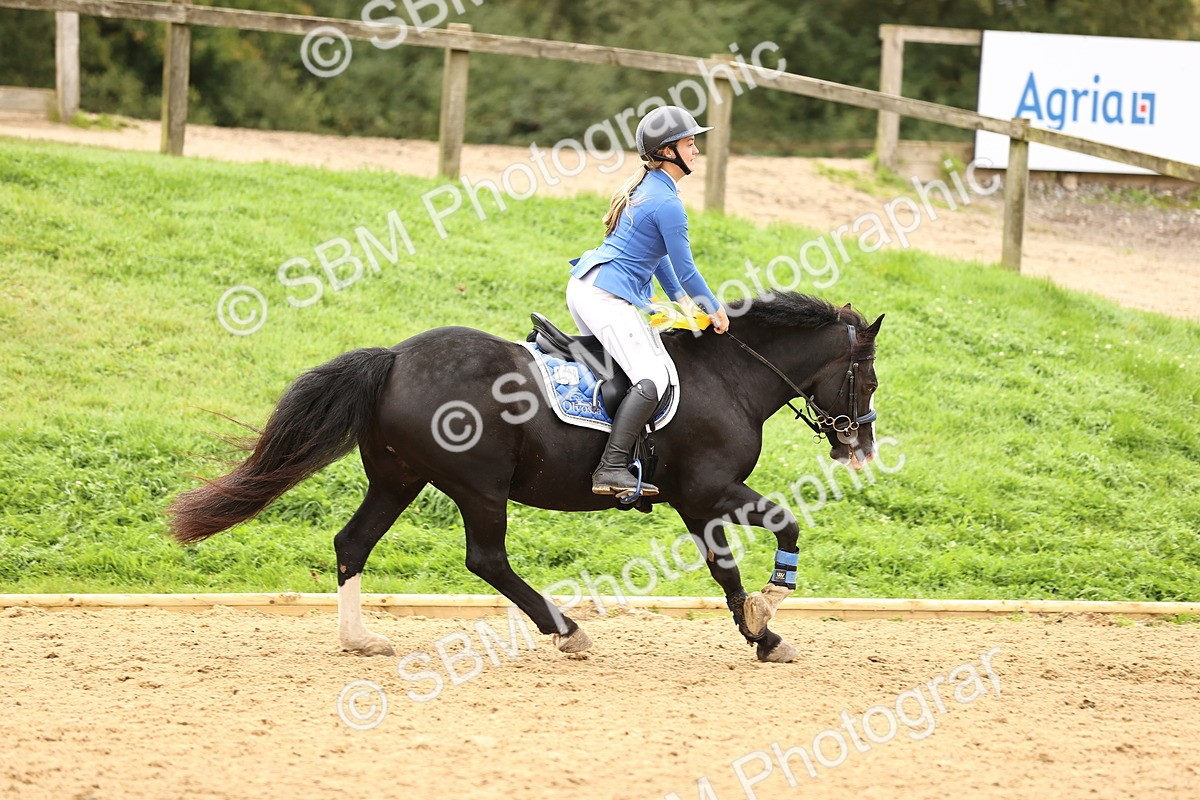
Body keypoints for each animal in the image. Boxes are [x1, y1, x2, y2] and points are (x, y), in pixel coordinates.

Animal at [168, 292, 883, 663]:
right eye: (869, 378)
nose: (863, 448)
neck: (728, 377)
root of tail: (395, 357)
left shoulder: (696, 501)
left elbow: (724, 570)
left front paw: (760, 633)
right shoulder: (709, 490)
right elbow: (785, 526)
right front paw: (772, 608)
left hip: (399, 479)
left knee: (353, 543)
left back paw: (360, 638)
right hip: (480, 486)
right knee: (486, 558)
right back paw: (565, 629)